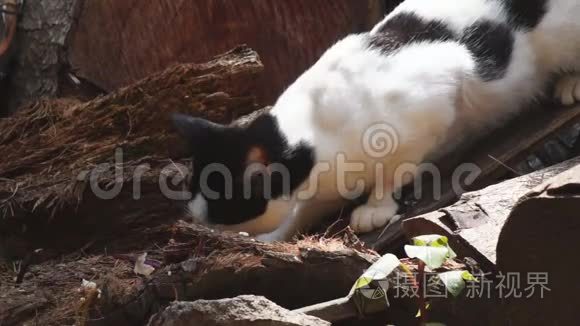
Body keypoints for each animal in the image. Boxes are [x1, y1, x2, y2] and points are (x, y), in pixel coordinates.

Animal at [174, 0, 580, 242]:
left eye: (222, 205)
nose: (194, 223)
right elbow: (297, 215)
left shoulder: (432, 99)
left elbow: (393, 171)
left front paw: (374, 210)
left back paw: (569, 85)